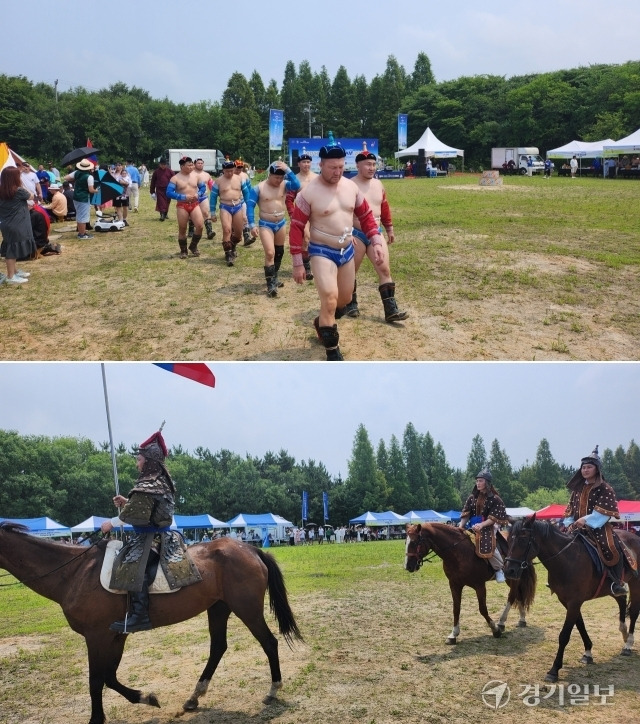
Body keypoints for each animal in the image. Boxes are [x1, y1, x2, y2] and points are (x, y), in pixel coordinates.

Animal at [0, 520, 302, 724]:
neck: (74, 573)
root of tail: (250, 550)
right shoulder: (115, 636)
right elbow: (109, 676)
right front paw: (146, 697)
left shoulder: (97, 636)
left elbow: (97, 679)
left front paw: (97, 718)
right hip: (218, 609)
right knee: (218, 647)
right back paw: (194, 697)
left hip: (247, 609)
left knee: (269, 642)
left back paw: (272, 690)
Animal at [404, 520, 536, 644]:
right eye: (406, 542)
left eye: (415, 542)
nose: (408, 566)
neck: (458, 552)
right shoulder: (454, 585)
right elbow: (456, 608)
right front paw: (453, 634)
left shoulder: (479, 585)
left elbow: (483, 609)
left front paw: (495, 629)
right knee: (518, 595)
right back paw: (521, 619)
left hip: (513, 577)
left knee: (512, 596)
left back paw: (501, 622)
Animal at [504, 512, 640, 680]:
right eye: (509, 539)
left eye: (523, 539)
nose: (509, 571)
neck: (567, 559)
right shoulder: (567, 601)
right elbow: (580, 625)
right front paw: (588, 653)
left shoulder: (574, 602)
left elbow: (564, 635)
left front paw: (554, 670)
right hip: (612, 588)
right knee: (621, 599)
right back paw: (624, 633)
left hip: (635, 583)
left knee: (633, 611)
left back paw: (629, 643)